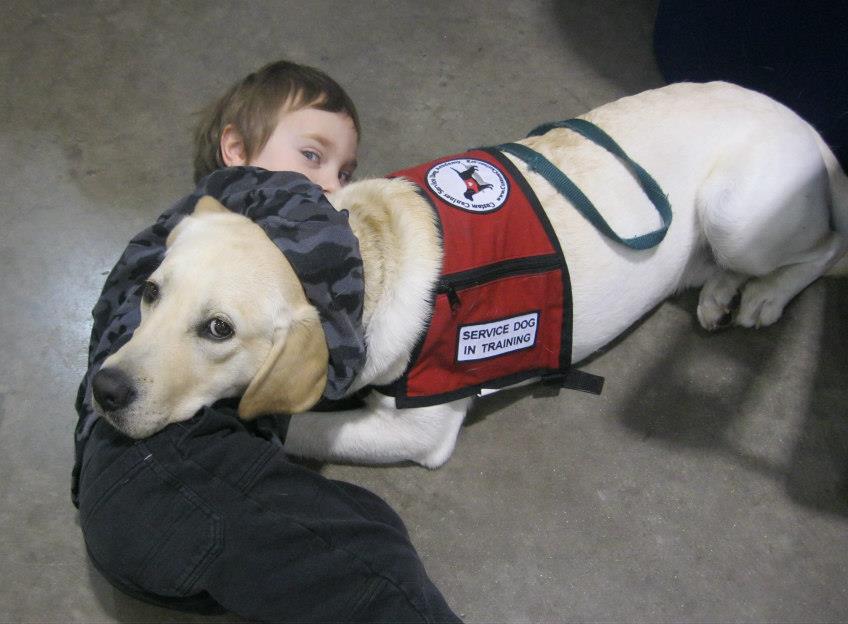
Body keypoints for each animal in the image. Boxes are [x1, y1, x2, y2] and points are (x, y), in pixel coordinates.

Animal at [93, 81, 848, 464]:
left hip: (737, 212)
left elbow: (285, 423)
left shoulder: (418, 431)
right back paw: (720, 290)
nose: (105, 388)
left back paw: (762, 297)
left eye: (219, 329)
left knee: (827, 250)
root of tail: (810, 124)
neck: (361, 252)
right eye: (151, 292)